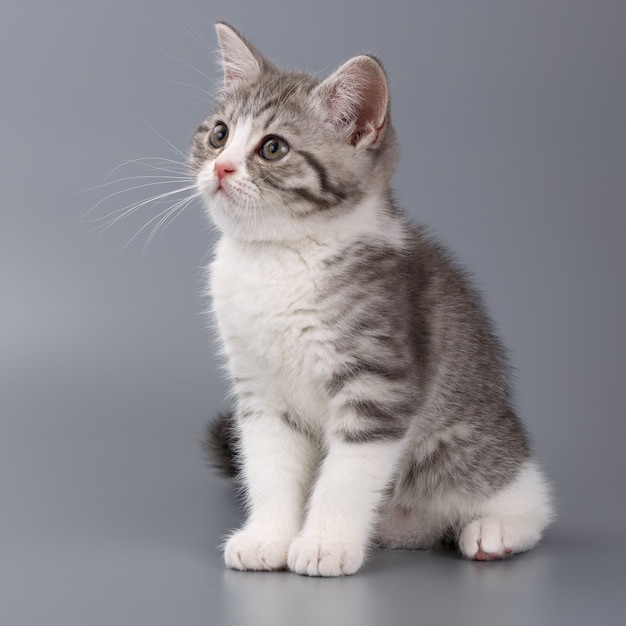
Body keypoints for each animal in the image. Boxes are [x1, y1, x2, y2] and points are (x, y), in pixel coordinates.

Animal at [194, 23, 552, 576]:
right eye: (218, 135)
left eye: (272, 148)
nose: (221, 169)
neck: (278, 257)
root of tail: (410, 531)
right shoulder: (259, 391)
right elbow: (269, 465)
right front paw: (268, 536)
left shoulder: (380, 381)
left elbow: (347, 473)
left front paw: (324, 544)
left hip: (463, 446)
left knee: (527, 497)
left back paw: (496, 529)